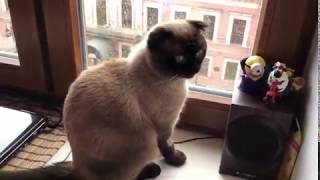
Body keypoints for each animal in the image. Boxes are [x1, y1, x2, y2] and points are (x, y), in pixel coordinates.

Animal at [0, 19, 206, 179]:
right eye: (180, 58)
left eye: (198, 53)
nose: (194, 69)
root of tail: (77, 169)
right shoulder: (165, 125)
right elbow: (167, 146)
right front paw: (176, 159)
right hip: (146, 144)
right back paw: (152, 170)